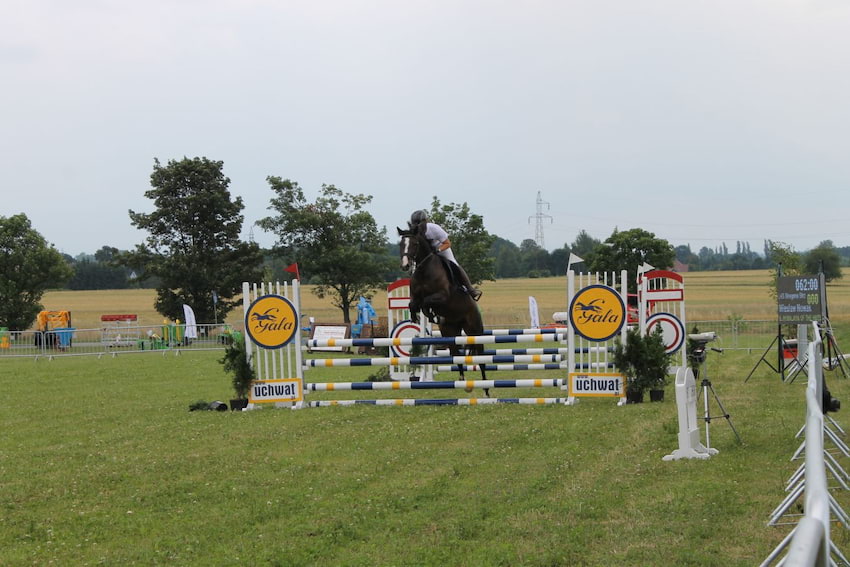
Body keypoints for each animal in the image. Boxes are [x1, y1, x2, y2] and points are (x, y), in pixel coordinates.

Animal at [396, 224, 486, 392]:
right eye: (401, 244)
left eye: (415, 244)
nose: (405, 265)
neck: (424, 270)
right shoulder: (415, 297)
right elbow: (413, 304)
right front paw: (417, 316)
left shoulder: (443, 296)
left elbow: (426, 302)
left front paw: (429, 313)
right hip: (450, 331)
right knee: (456, 354)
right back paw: (463, 381)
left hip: (474, 330)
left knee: (482, 359)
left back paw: (486, 389)